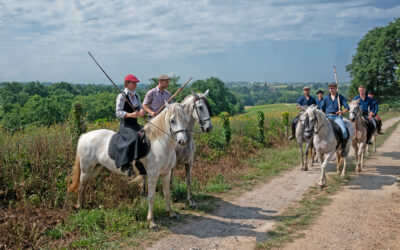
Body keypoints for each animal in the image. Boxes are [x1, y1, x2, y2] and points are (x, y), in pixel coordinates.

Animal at [67, 101, 189, 230]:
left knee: (85, 186)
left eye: (185, 119)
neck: (159, 143)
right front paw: (151, 222)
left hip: (94, 169)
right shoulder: (152, 175)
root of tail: (84, 136)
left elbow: (167, 193)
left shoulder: (166, 173)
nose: (183, 141)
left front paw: (171, 213)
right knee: (81, 186)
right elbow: (151, 197)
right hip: (86, 169)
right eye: (172, 120)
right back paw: (79, 206)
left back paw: (84, 204)